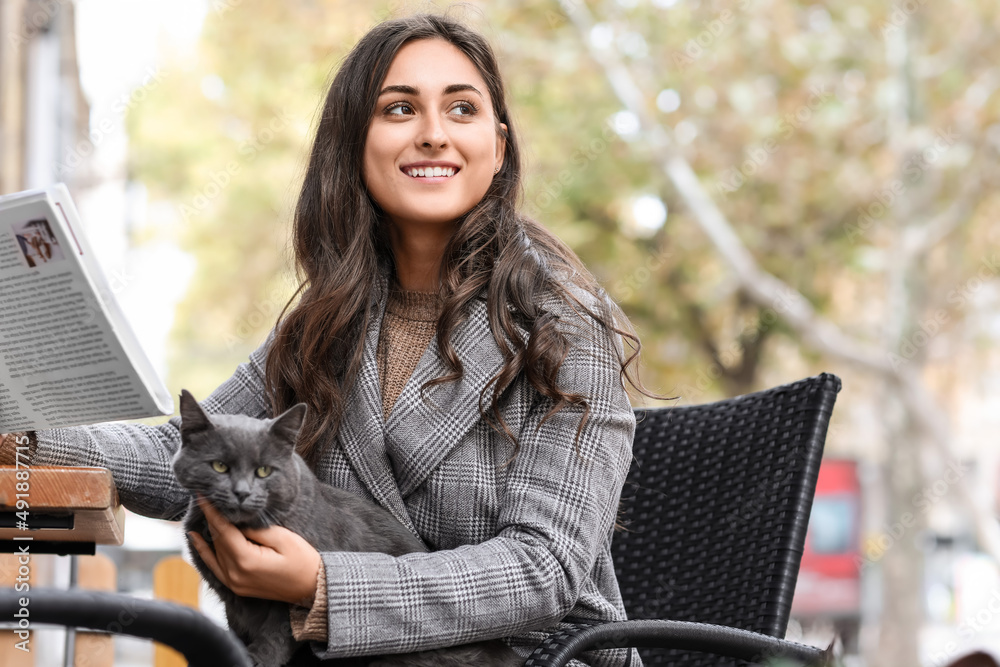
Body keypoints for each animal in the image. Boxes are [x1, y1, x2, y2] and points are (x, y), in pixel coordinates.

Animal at [172, 392, 524, 667]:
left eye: (263, 471)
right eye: (219, 466)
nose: (242, 492)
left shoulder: (287, 595)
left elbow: (279, 629)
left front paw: (258, 658)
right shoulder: (232, 602)